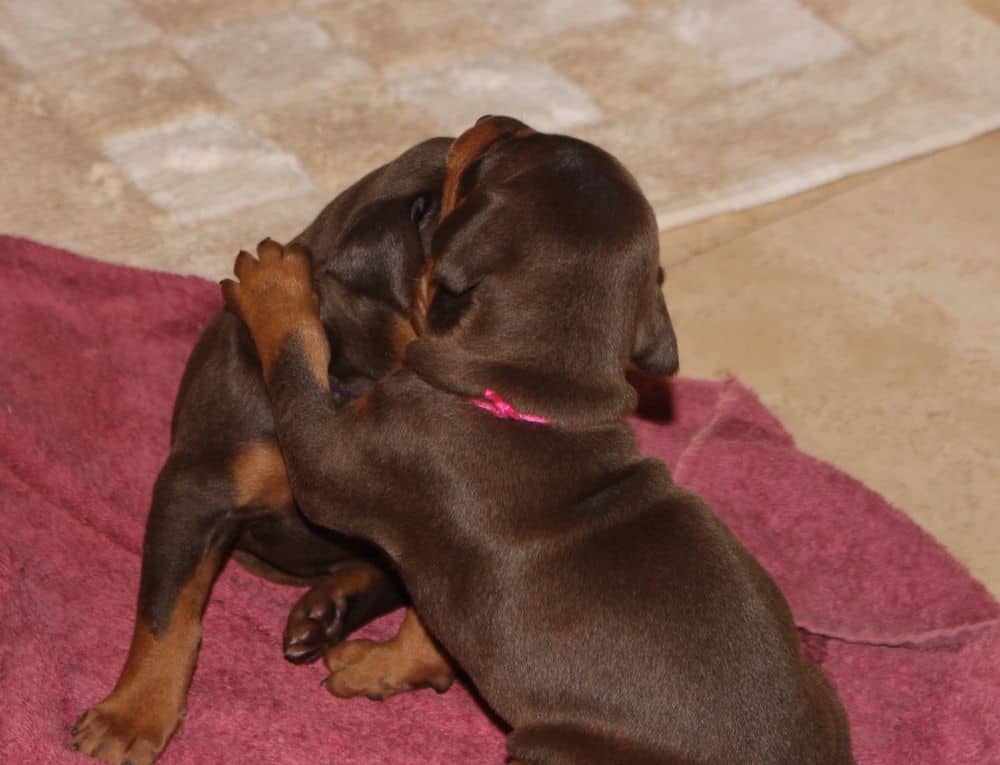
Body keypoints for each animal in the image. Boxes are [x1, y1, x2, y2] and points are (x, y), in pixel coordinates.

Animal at [223, 116, 856, 760]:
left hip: (552, 745)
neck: (532, 388)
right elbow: (427, 628)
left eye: (504, 149)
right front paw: (379, 669)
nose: (497, 119)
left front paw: (273, 286)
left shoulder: (337, 460)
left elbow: (295, 363)